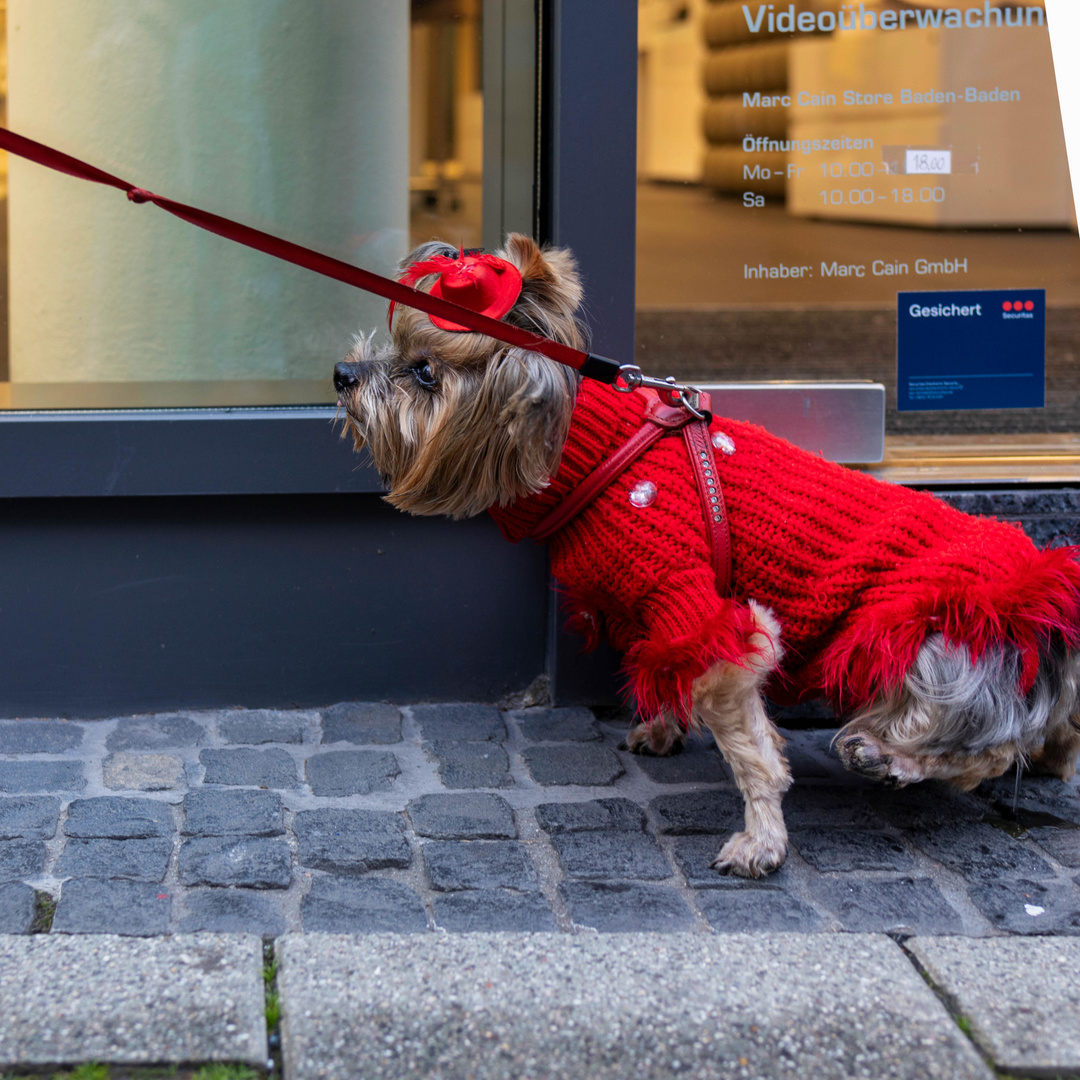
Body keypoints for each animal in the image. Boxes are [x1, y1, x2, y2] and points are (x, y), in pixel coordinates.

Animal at [332, 234, 1080, 876]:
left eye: (424, 372)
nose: (342, 373)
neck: (604, 454)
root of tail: (1051, 614)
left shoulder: (698, 603)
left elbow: (750, 747)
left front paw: (761, 839)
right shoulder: (652, 609)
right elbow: (663, 664)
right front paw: (661, 728)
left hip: (932, 635)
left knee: (986, 745)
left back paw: (884, 752)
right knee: (1046, 739)